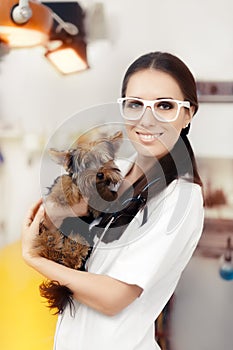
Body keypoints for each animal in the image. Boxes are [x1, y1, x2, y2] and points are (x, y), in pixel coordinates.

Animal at [32, 131, 124, 314]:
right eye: (86, 165)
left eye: (104, 160)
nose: (100, 174)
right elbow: (64, 182)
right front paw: (69, 190)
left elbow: (102, 198)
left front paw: (107, 194)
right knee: (48, 249)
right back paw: (50, 242)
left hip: (82, 237)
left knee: (72, 254)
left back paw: (71, 253)